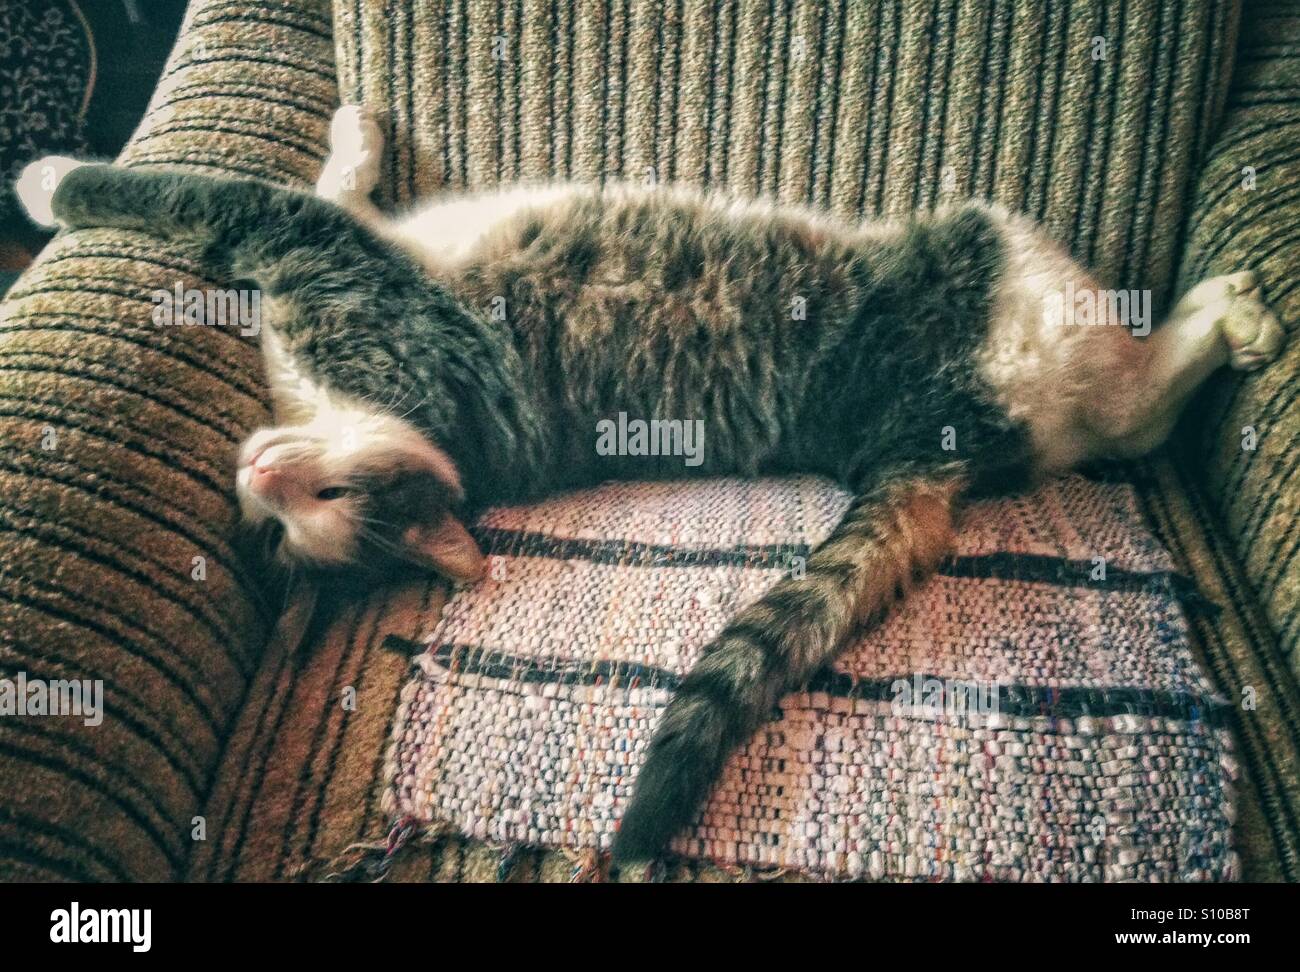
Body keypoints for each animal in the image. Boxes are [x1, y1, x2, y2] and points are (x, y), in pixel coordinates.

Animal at [15, 106, 1284, 862]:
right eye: (289, 534)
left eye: (329, 510)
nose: (260, 473)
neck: (368, 413)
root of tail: (924, 440)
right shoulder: (327, 255)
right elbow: (213, 191)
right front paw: (48, 173)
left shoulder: (330, 251)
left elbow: (249, 186)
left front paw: (50, 172)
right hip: (1015, 272)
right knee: (1133, 405)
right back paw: (1231, 315)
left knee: (1133, 408)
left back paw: (1232, 312)